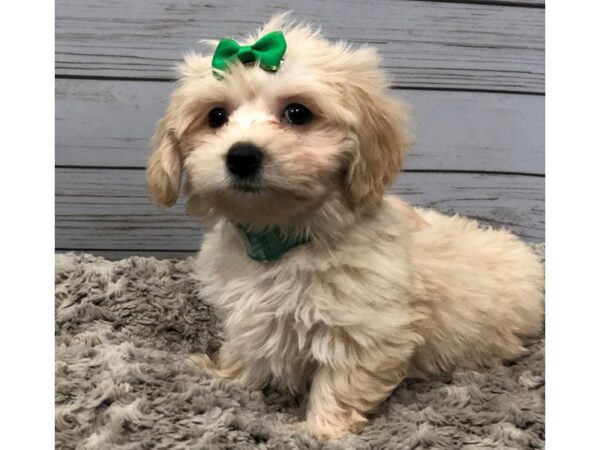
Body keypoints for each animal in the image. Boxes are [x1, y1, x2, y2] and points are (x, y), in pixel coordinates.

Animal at [144, 14, 544, 440]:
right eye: (216, 117)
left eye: (298, 113)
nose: (242, 156)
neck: (285, 237)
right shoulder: (250, 313)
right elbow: (247, 348)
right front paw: (223, 375)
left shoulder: (366, 329)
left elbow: (341, 381)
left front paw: (318, 430)